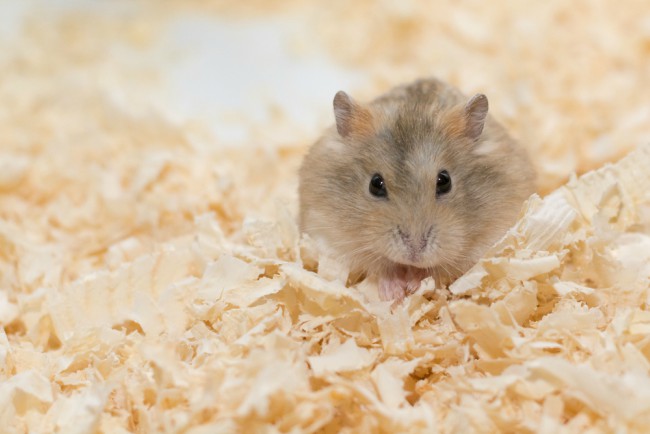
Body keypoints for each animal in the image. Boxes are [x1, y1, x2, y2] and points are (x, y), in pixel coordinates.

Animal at [298, 78, 536, 302]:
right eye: (375, 184)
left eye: (445, 181)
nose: (414, 251)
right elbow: (380, 267)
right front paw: (395, 292)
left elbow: (438, 269)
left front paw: (413, 285)